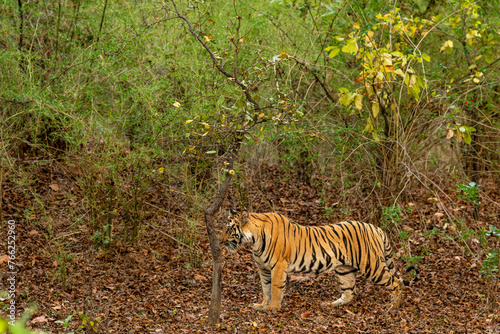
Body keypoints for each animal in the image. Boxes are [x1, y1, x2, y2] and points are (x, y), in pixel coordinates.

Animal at [221, 210, 420, 312]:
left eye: (229, 228)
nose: (221, 241)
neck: (254, 240)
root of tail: (376, 228)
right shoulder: (263, 268)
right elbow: (265, 288)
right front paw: (262, 305)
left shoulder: (278, 266)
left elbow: (276, 289)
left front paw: (272, 308)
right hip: (344, 269)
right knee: (350, 292)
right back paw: (330, 304)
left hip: (373, 266)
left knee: (396, 283)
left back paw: (393, 307)